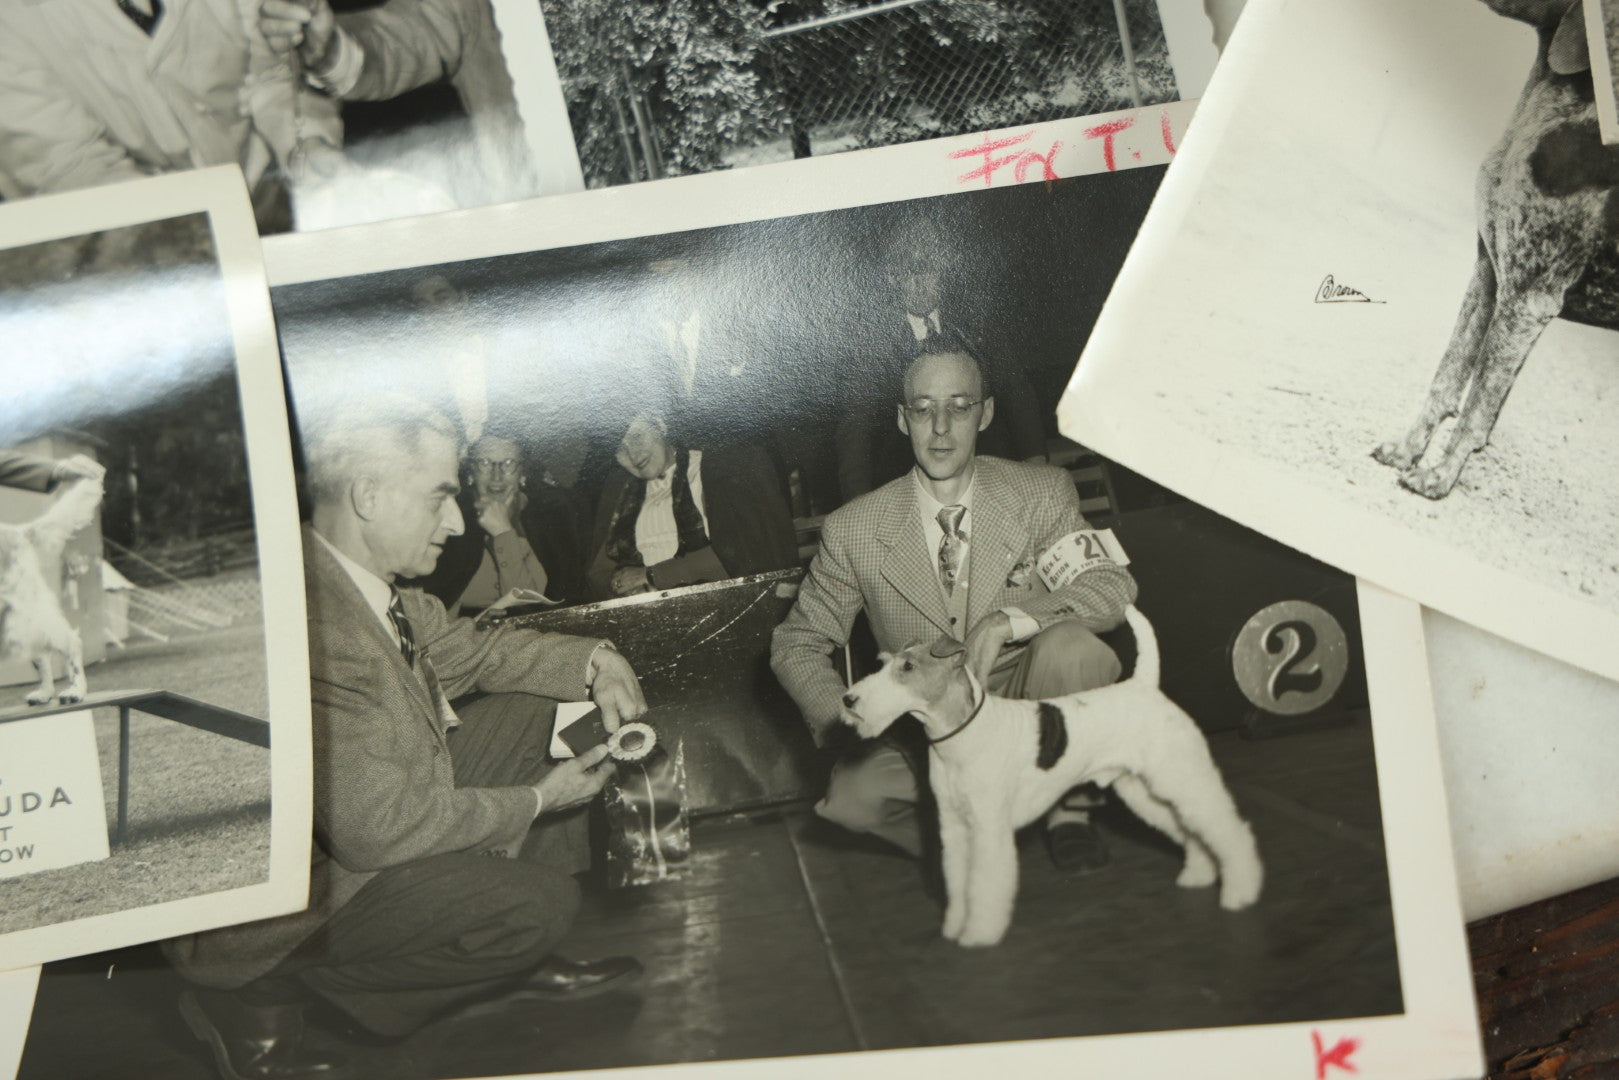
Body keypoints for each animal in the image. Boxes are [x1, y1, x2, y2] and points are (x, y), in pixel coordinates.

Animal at [0, 472, 104, 709]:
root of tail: (19, 531)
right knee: (42, 654)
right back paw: (44, 693)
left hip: (23, 612)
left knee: (70, 642)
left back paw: (75, 691)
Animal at [835, 605, 1262, 952]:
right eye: (882, 663)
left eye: (907, 668)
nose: (849, 700)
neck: (960, 736)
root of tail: (1143, 686)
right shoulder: (955, 828)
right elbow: (959, 883)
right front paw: (955, 926)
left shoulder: (988, 829)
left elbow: (985, 884)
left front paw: (979, 934)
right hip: (1144, 790)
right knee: (1191, 830)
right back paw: (1198, 873)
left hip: (1182, 776)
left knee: (1228, 830)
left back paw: (1241, 891)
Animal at [1372, 0, 1619, 498]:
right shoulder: (1488, 275)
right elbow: (1447, 379)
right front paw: (1406, 452)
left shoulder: (1526, 301)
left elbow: (1476, 409)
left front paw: (1437, 478)